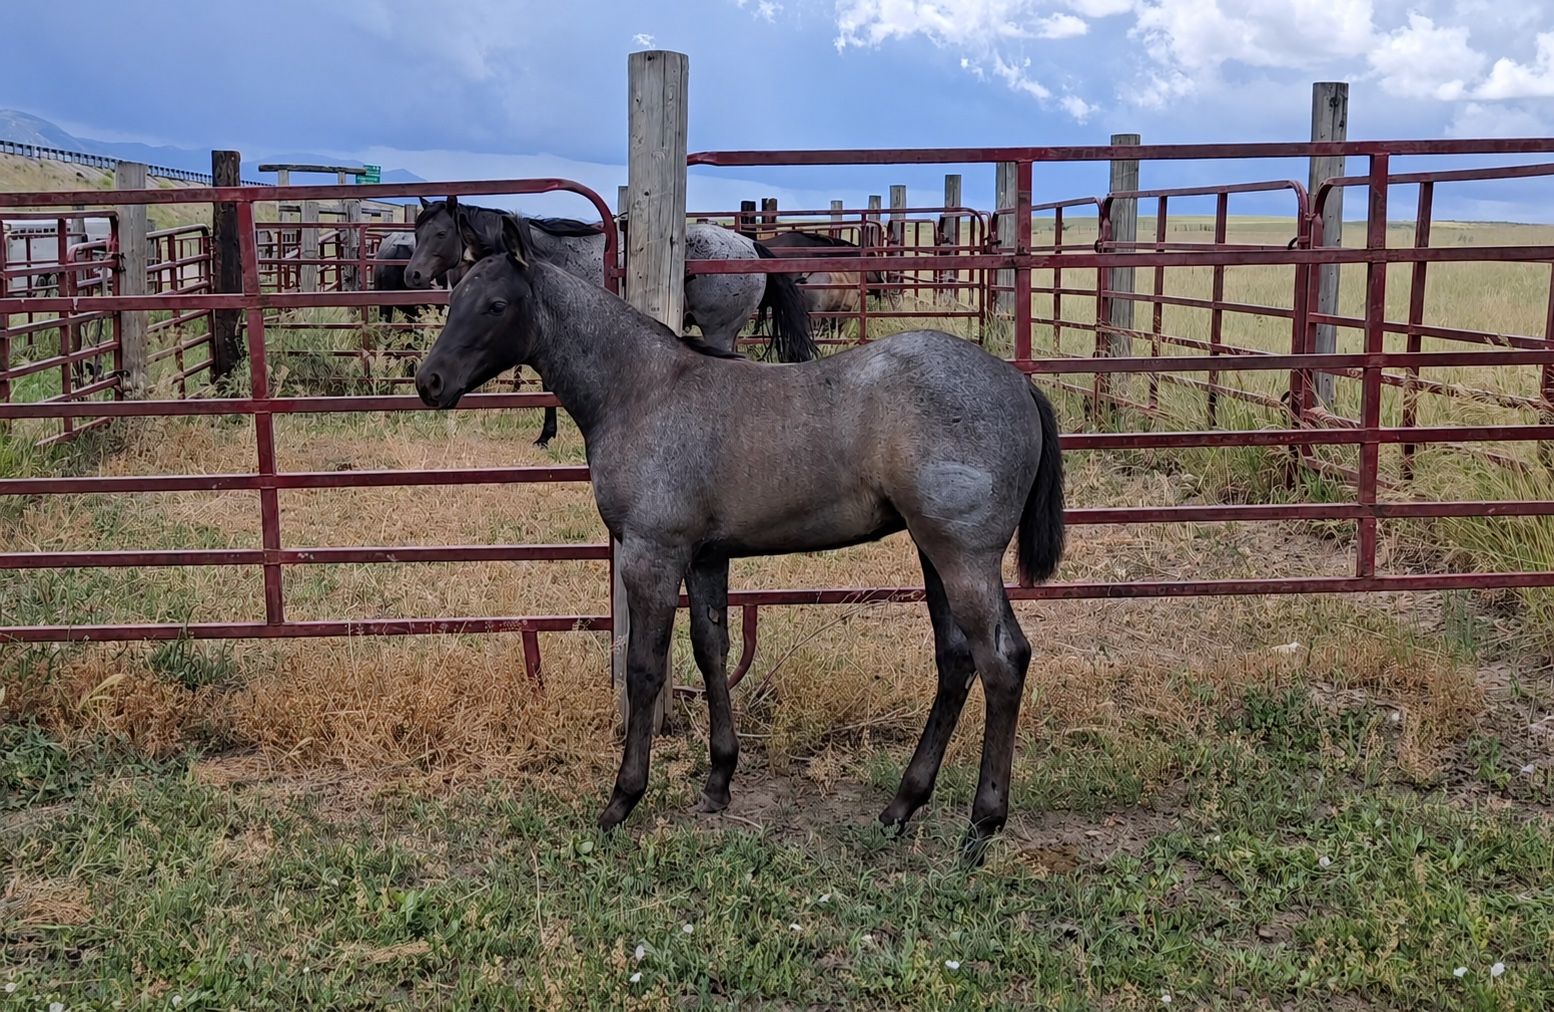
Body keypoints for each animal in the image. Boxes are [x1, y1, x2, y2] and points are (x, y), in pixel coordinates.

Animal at [403, 197, 817, 447]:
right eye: (417, 232)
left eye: (441, 233)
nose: (412, 274)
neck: (551, 254)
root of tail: (749, 245)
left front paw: (546, 435)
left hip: (719, 329)